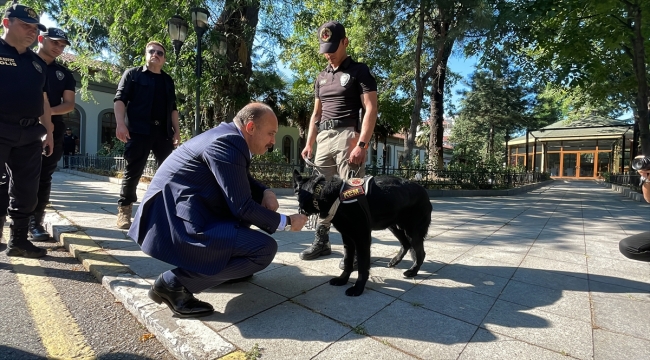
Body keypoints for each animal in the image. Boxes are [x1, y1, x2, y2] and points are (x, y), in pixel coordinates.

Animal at [292, 170, 430, 296]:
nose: (299, 212)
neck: (333, 196)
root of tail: (424, 190)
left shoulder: (362, 238)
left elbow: (363, 266)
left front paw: (358, 288)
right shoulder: (347, 238)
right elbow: (347, 261)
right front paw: (343, 279)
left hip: (412, 232)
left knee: (421, 253)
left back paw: (413, 271)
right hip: (394, 226)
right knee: (405, 244)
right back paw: (395, 261)